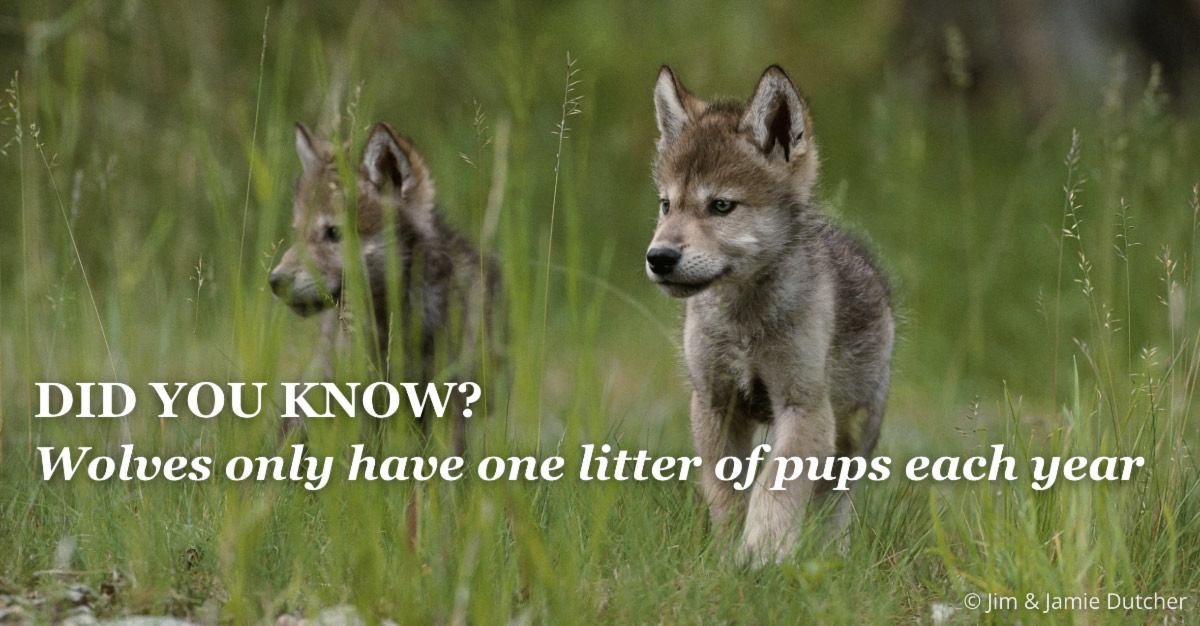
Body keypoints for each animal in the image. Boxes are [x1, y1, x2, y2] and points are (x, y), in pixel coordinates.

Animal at [646, 65, 894, 566]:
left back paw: (830, 558)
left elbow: (773, 490)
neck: (743, 322)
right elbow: (727, 495)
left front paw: (761, 556)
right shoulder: (715, 404)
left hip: (853, 435)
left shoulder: (804, 408)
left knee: (835, 502)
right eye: (666, 205)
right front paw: (727, 558)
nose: (658, 257)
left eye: (721, 206)